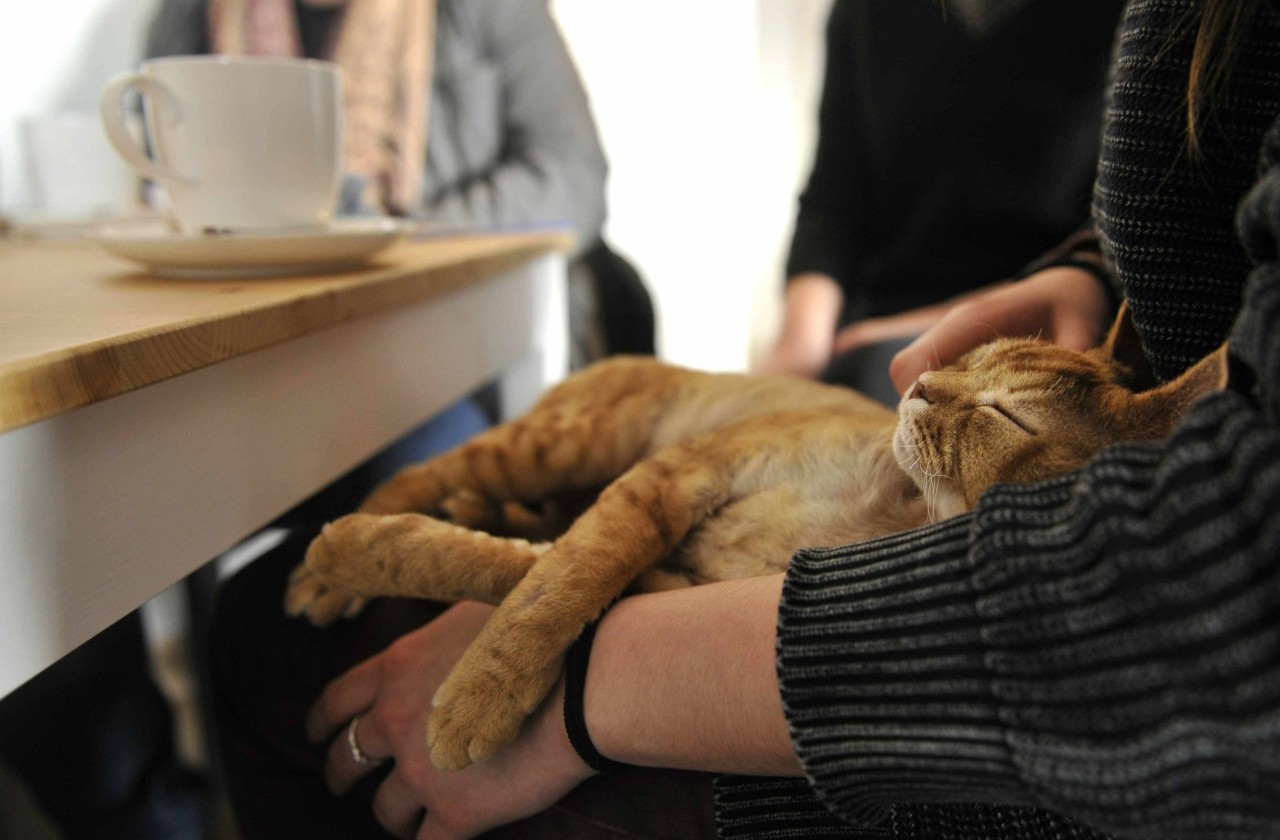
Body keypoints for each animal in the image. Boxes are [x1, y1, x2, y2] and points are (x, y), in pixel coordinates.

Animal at [285, 307, 1223, 768]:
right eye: (974, 355)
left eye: (1004, 414)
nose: (919, 385)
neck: (888, 517)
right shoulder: (675, 478)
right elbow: (557, 581)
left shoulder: (668, 579)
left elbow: (533, 575)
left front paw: (474, 693)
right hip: (570, 441)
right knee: (430, 468)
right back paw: (331, 567)